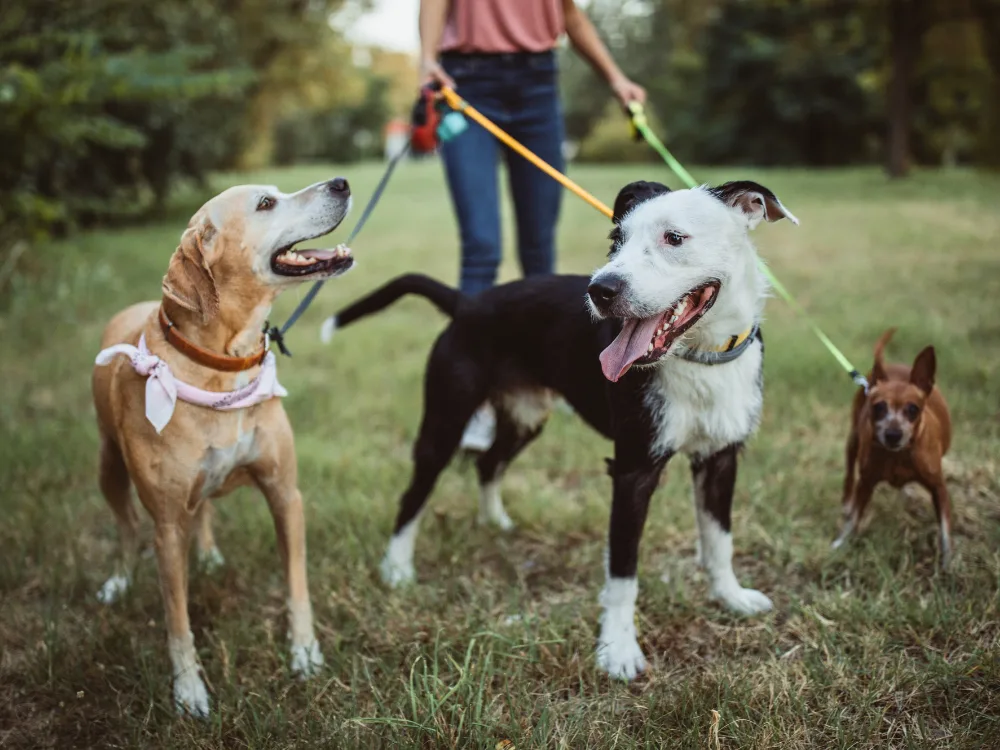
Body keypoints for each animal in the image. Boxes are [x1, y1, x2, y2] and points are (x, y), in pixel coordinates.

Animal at [91, 179, 356, 720]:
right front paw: (188, 690)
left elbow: (297, 584)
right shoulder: (167, 528)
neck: (223, 364)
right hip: (108, 465)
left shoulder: (285, 494)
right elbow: (177, 619)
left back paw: (209, 553)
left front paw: (305, 652)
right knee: (126, 529)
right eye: (266, 204)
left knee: (205, 509)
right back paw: (120, 581)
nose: (341, 183)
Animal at [828, 330, 952, 568]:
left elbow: (945, 528)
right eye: (879, 407)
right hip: (853, 441)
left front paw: (949, 561)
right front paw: (841, 543)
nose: (893, 434)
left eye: (913, 409)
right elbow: (854, 517)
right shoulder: (865, 483)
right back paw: (847, 502)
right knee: (849, 474)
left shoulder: (939, 488)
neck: (899, 456)